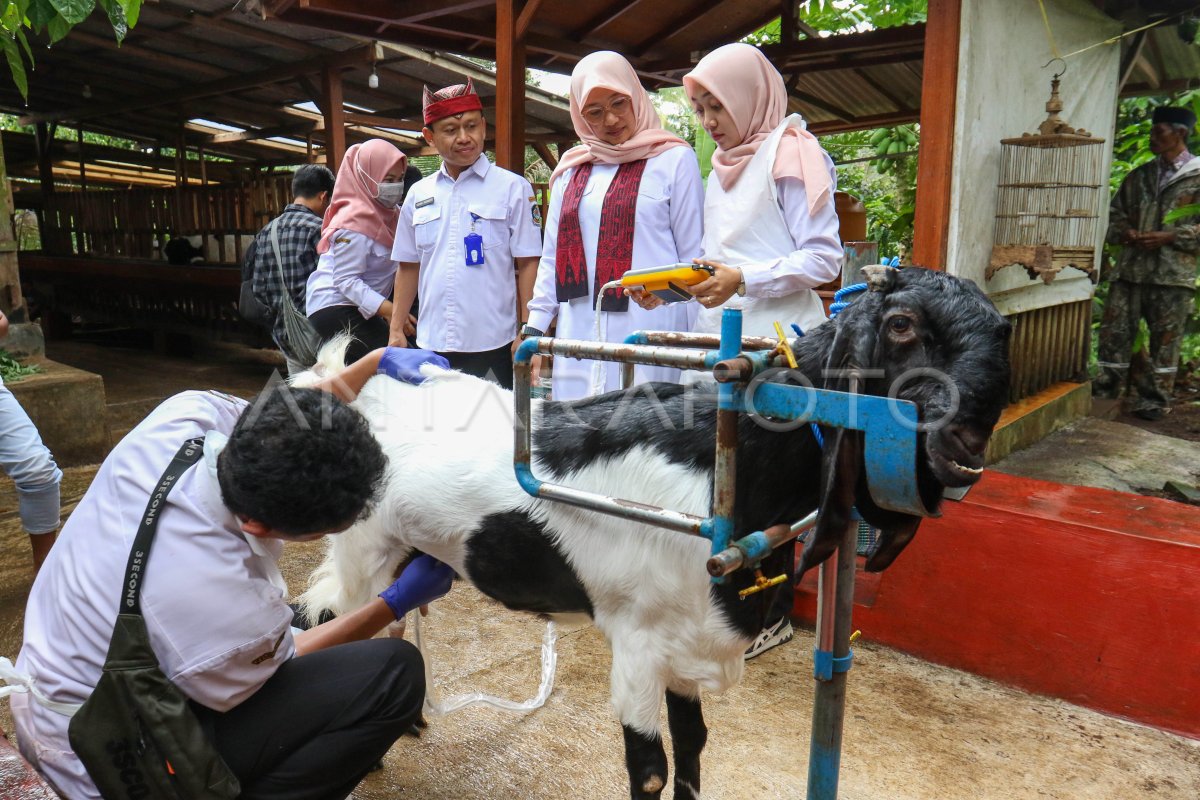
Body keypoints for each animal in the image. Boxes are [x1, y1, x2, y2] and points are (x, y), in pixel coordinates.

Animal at [300, 267, 1012, 800]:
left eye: (1003, 330)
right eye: (901, 325)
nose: (969, 437)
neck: (725, 465)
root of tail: (341, 381)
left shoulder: (685, 651)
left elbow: (694, 750)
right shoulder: (637, 643)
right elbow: (650, 771)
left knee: (393, 618)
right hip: (364, 547)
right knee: (346, 612)